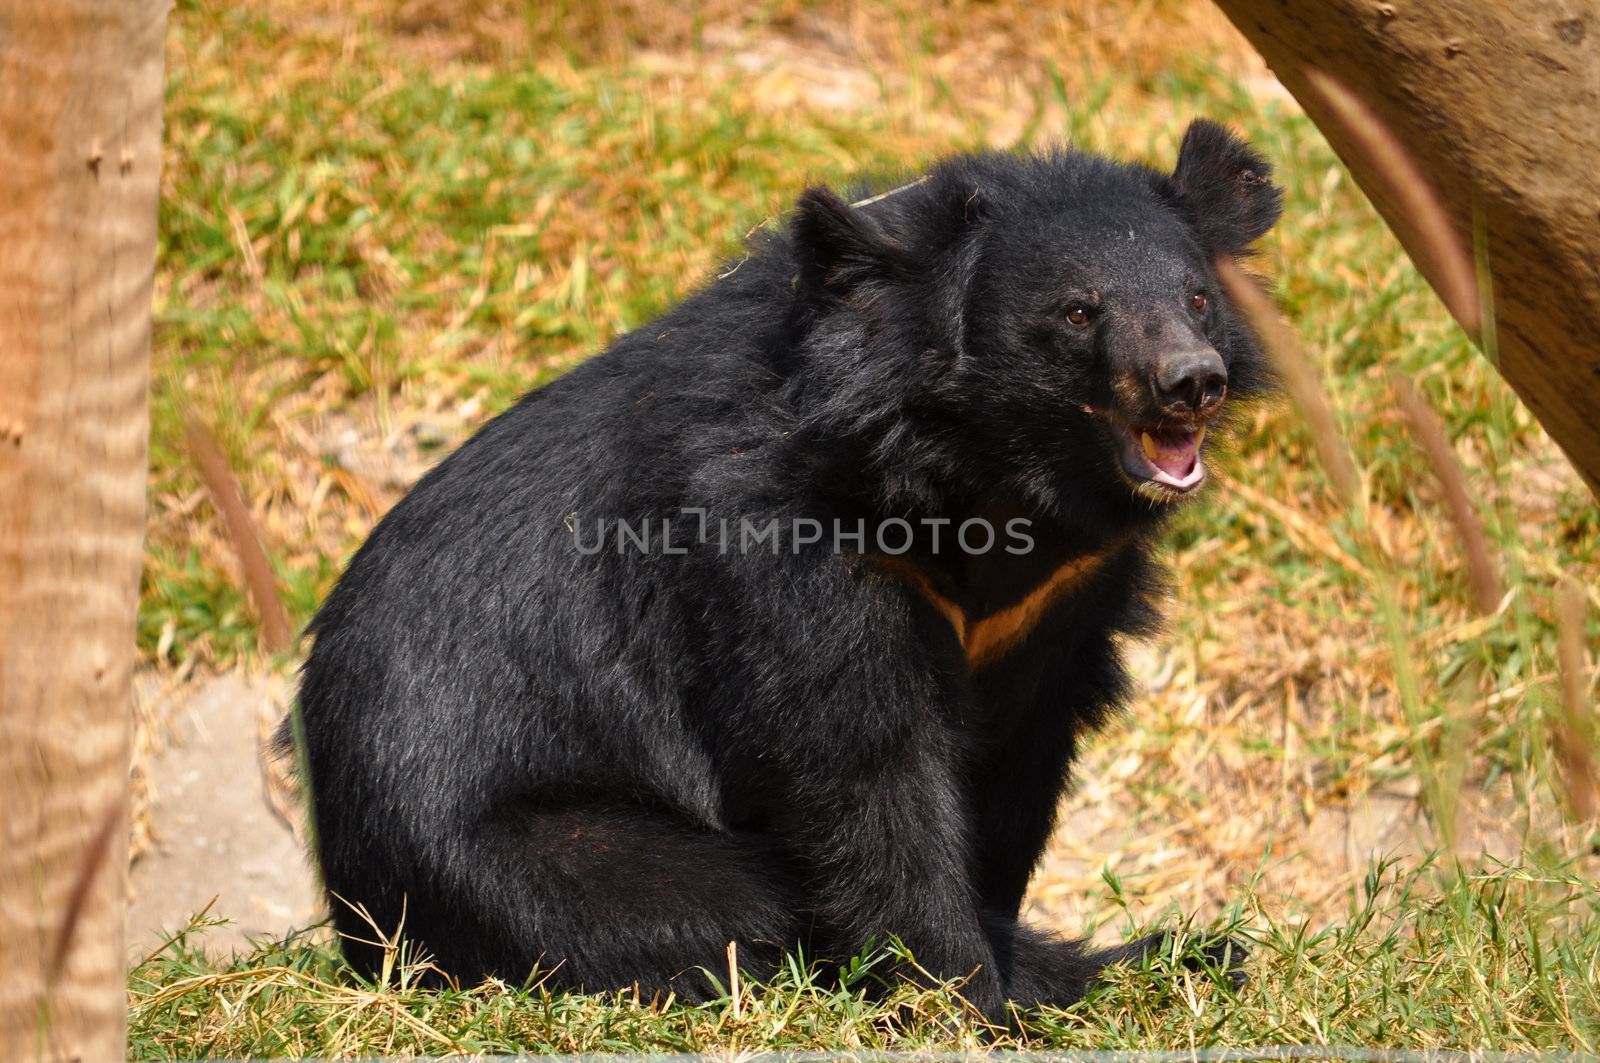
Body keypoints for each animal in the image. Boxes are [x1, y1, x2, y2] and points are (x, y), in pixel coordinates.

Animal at [294, 118, 1280, 1024]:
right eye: (1080, 311)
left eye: (1197, 297)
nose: (1191, 380)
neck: (983, 476)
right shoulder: (786, 538)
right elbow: (865, 764)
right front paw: (960, 991)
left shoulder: (1062, 597)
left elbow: (1017, 755)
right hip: (518, 853)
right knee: (725, 907)